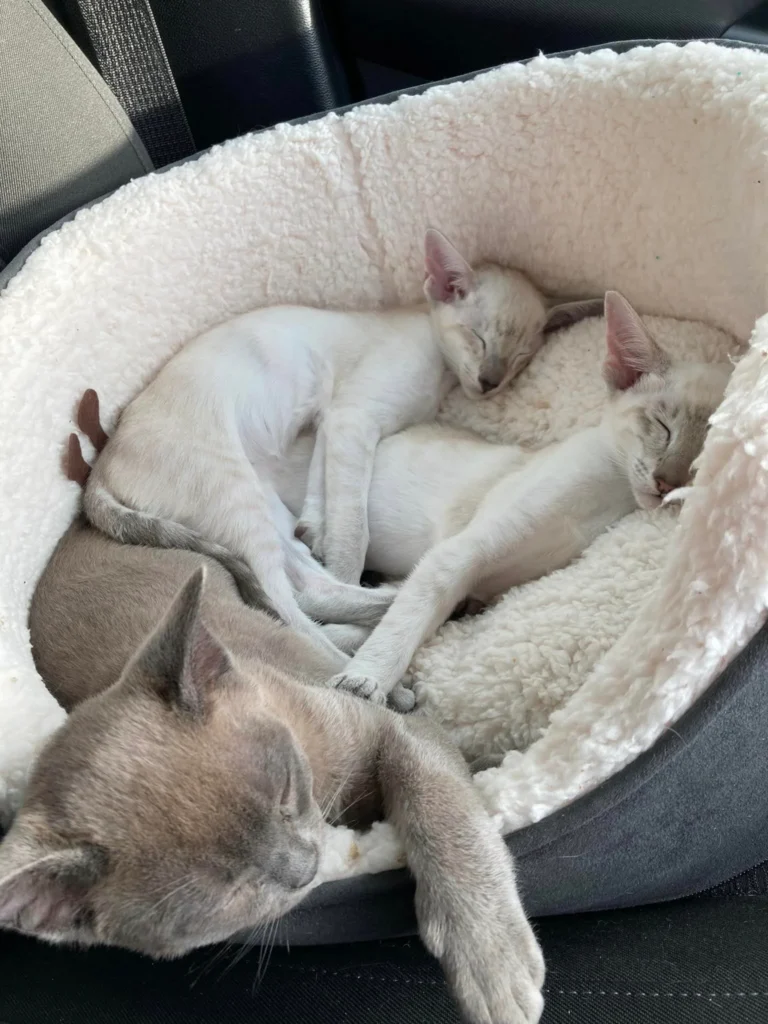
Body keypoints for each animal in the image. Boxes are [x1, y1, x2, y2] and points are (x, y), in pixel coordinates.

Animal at [6, 520, 548, 1024]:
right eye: (228, 893)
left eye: (285, 790)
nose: (304, 868)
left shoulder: (401, 731)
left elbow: (447, 817)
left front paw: (491, 961)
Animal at [82, 226, 602, 655]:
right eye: (477, 338)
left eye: (521, 358)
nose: (490, 382)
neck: (442, 373)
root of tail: (99, 465)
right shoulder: (354, 418)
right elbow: (352, 531)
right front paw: (348, 559)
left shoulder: (333, 423)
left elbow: (323, 501)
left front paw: (317, 527)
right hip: (234, 495)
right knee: (284, 606)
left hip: (262, 504)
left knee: (306, 586)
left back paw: (411, 603)